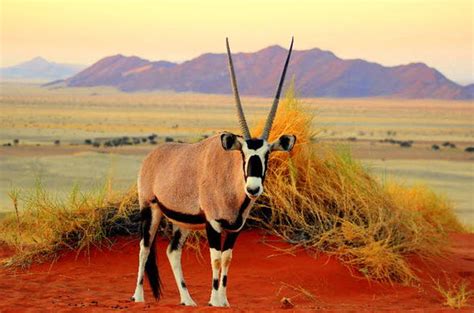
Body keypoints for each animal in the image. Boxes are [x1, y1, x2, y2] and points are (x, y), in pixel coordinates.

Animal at [131, 37, 294, 306]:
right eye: (243, 154)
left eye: (267, 155)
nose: (253, 188)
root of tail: (152, 156)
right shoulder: (213, 224)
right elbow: (215, 259)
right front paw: (216, 301)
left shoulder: (235, 228)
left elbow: (226, 259)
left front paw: (223, 301)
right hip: (150, 208)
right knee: (144, 248)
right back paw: (138, 296)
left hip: (182, 221)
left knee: (172, 251)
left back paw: (187, 300)